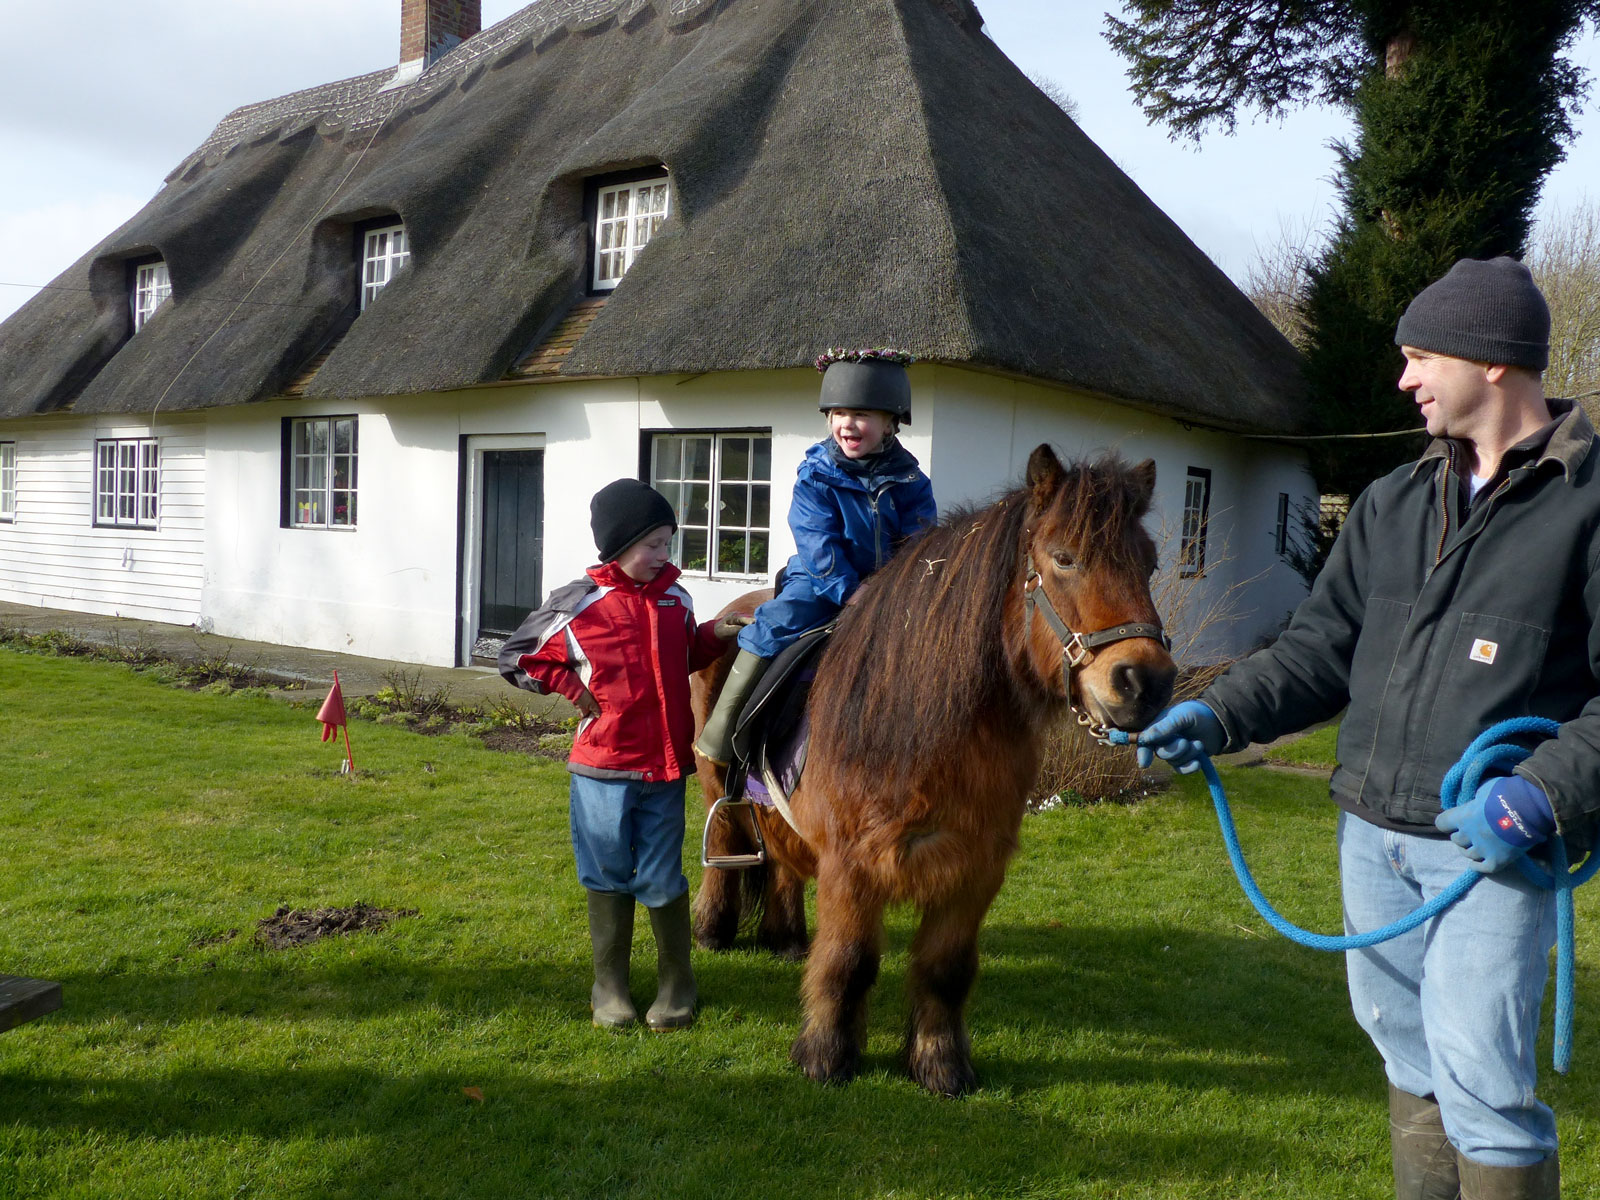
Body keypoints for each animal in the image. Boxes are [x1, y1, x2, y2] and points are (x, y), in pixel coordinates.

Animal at [690, 445, 1177, 1096]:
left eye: (1149, 563)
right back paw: (713, 930)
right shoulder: (852, 865)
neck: (925, 724)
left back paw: (786, 939)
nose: (1145, 682)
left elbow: (946, 970)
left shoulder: (976, 868)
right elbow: (847, 963)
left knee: (785, 862)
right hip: (714, 784)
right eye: (1064, 558)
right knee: (724, 843)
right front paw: (825, 1057)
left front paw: (939, 1064)